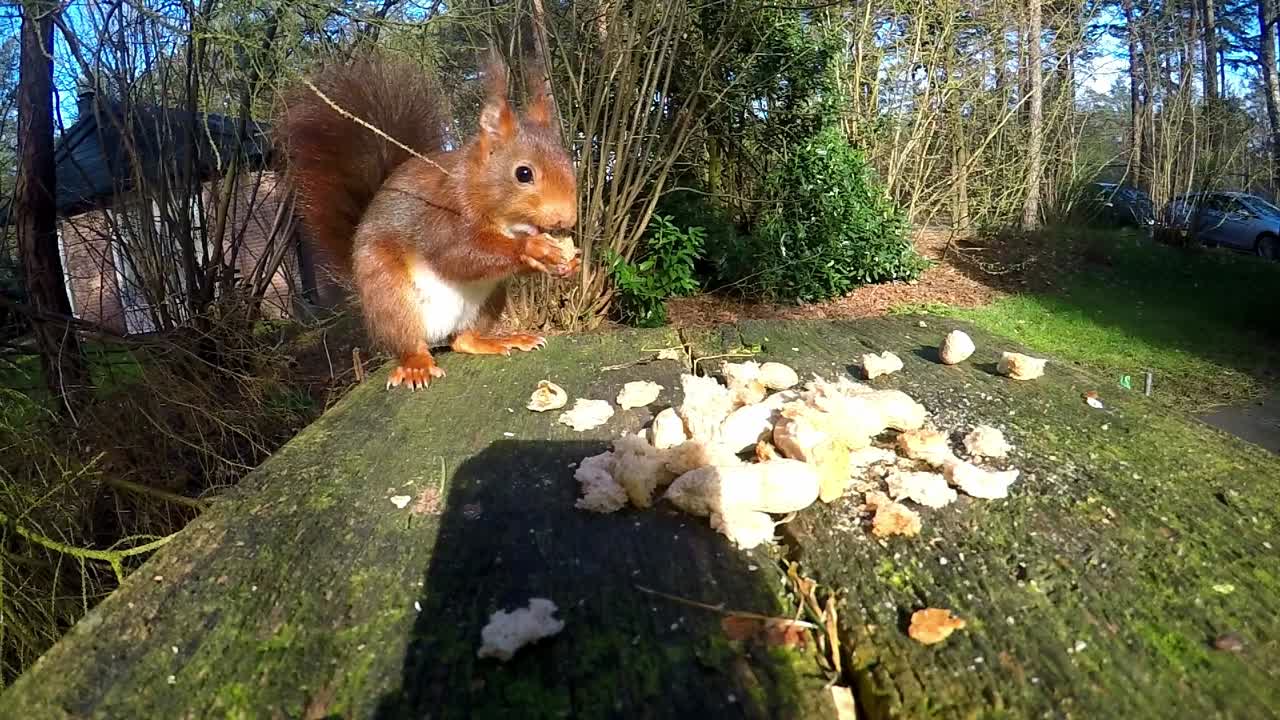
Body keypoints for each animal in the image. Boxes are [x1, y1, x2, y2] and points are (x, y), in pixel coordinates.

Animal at [276, 52, 579, 390]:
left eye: (569, 163)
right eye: (523, 173)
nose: (566, 219)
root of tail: (437, 333)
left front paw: (570, 263)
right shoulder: (440, 216)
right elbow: (458, 254)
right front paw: (532, 248)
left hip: (490, 299)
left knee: (462, 340)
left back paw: (497, 340)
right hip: (389, 294)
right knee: (409, 342)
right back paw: (416, 365)